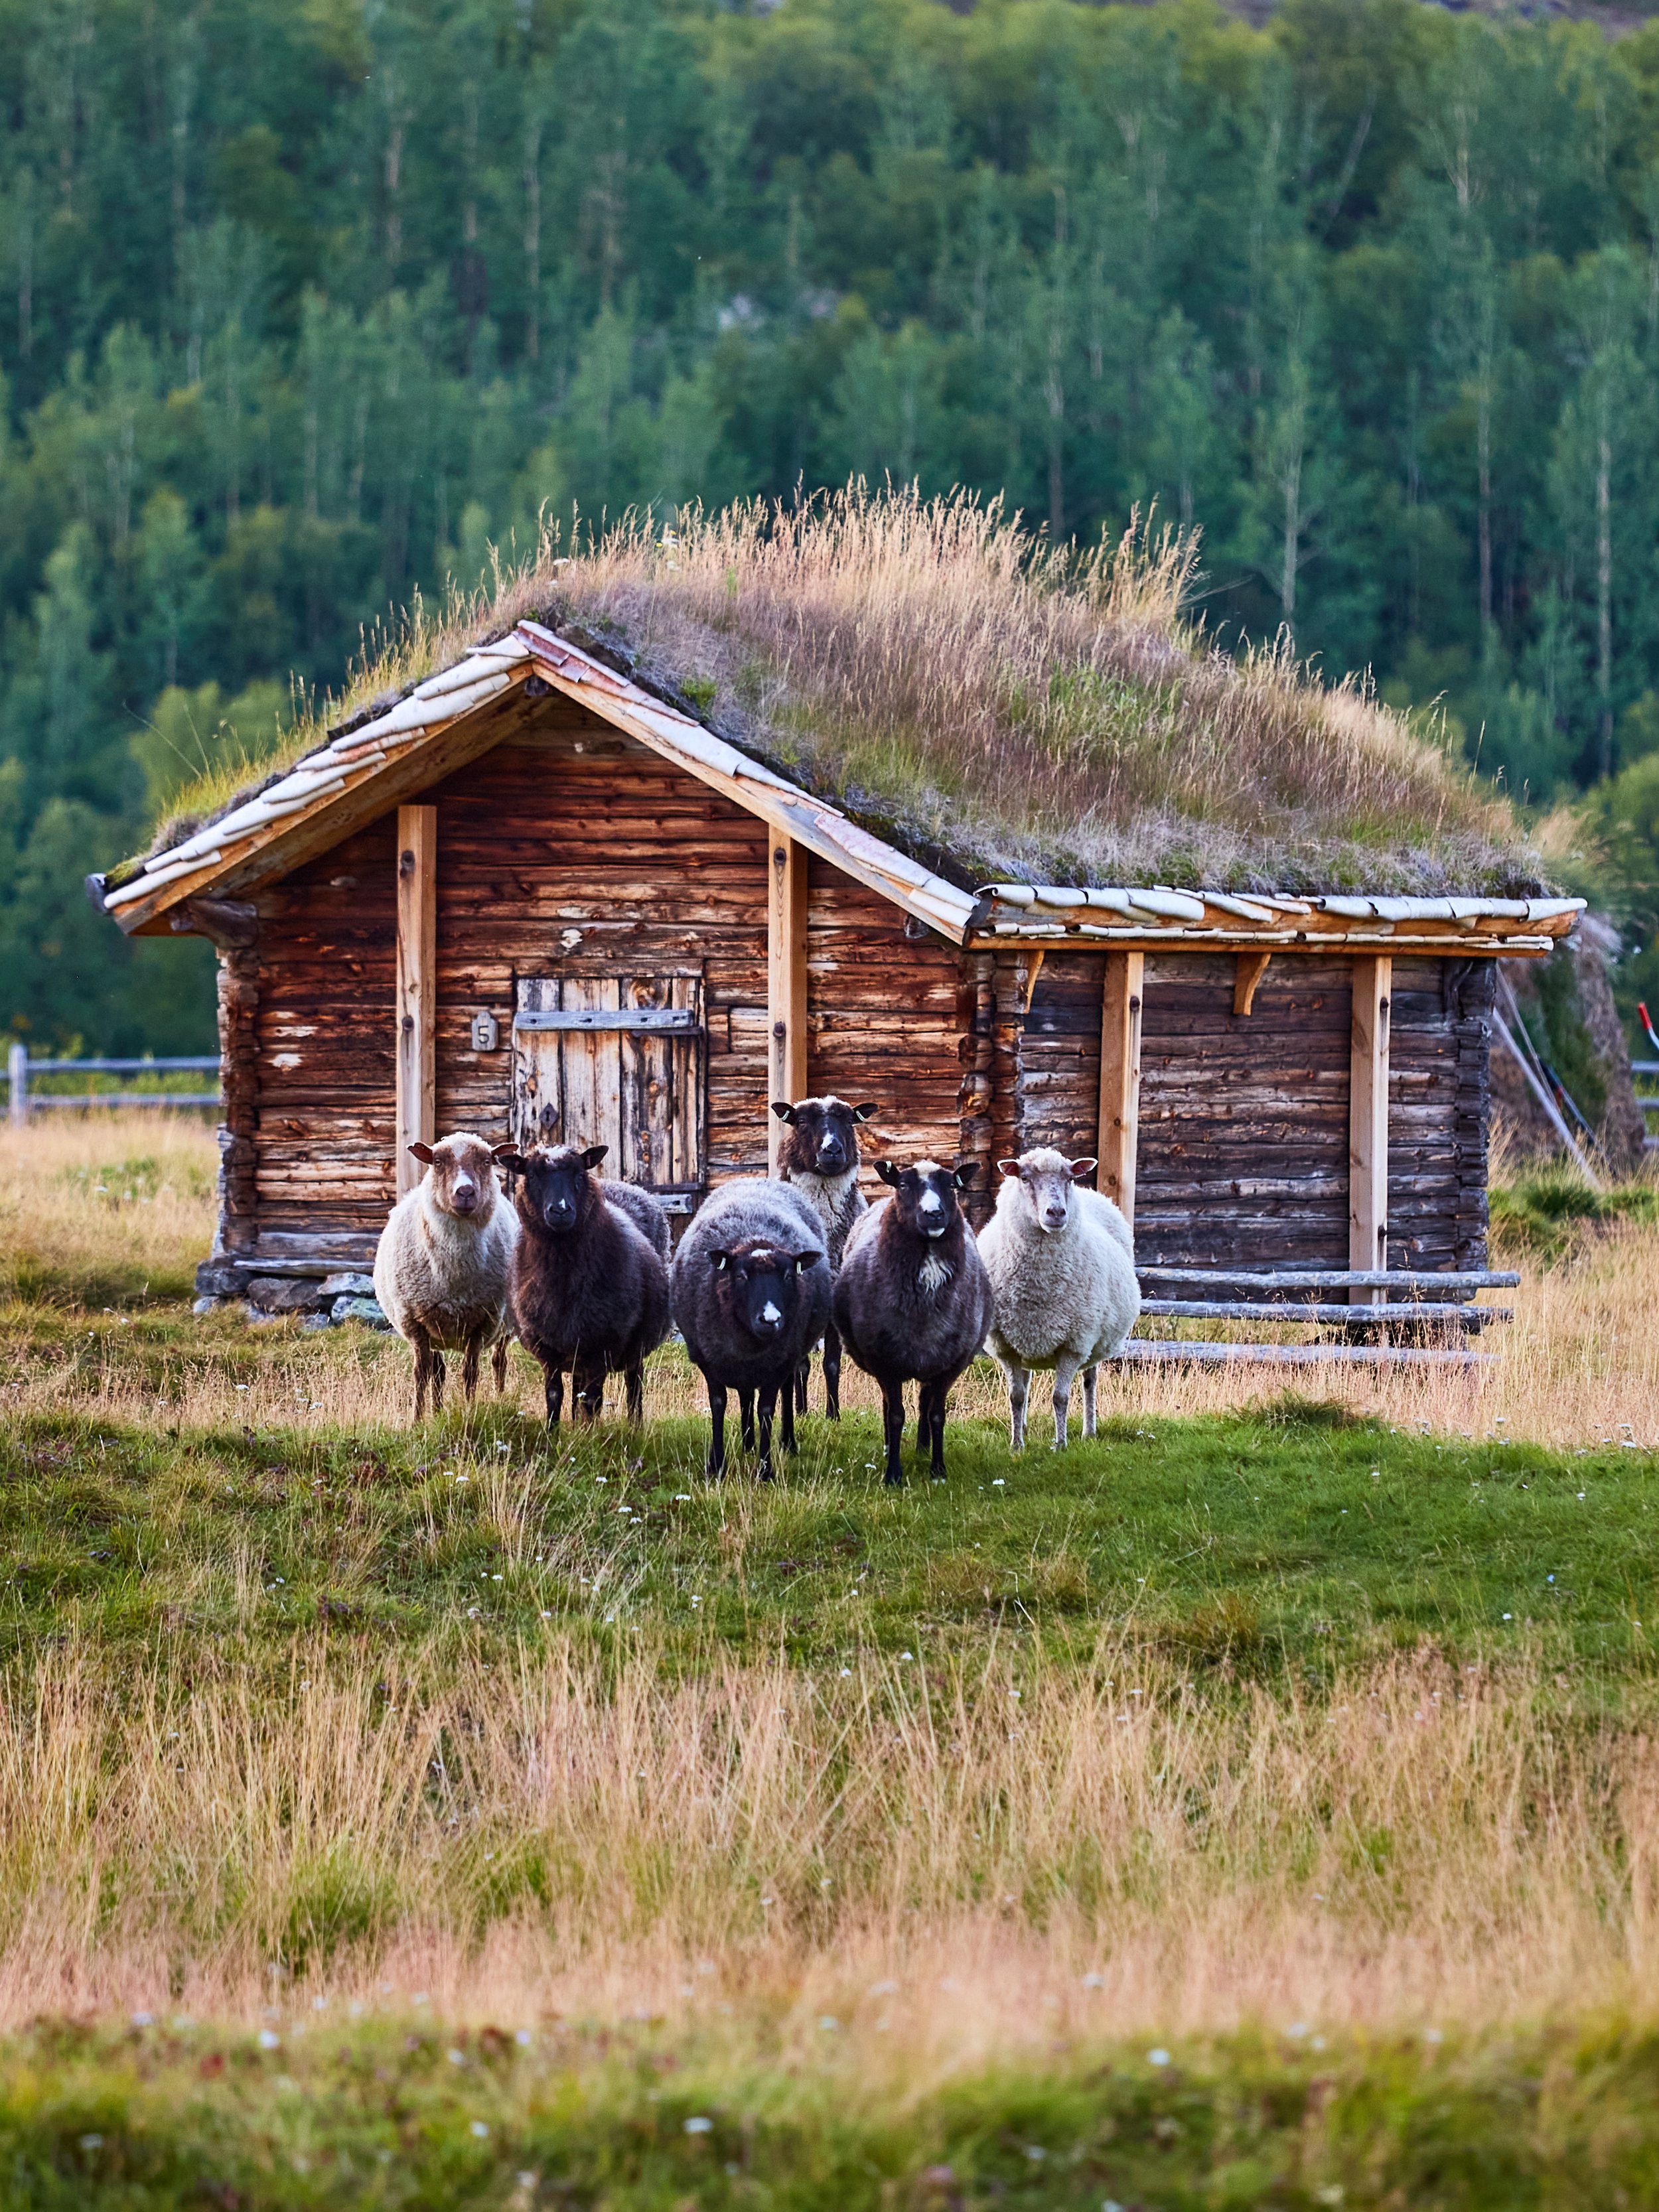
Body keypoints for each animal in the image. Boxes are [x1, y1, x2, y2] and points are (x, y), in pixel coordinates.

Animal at [376, 1133, 520, 1424]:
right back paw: (438, 1412)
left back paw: (500, 1398)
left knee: (499, 1362)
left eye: (487, 1161)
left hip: (505, 1327)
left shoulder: (483, 1323)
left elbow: (471, 1373)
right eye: (438, 1162)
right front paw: (417, 1420)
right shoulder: (415, 1323)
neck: (454, 1272)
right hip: (437, 1333)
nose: (464, 1192)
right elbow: (422, 1373)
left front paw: (469, 1412)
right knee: (438, 1372)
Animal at [498, 1141, 672, 1433]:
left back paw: (634, 1427)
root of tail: (622, 1186)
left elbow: (593, 1399)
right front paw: (553, 1434)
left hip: (630, 1345)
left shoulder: (600, 1343)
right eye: (532, 1175)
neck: (561, 1280)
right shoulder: (548, 1346)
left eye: (579, 1174)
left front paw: (589, 1436)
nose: (560, 1210)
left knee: (633, 1383)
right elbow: (554, 1394)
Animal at [836, 1159, 995, 1486]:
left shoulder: (950, 1363)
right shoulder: (885, 1361)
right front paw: (893, 1473)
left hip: (932, 1361)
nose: (934, 1214)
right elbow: (896, 1415)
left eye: (951, 1186)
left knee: (924, 1402)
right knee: (888, 1405)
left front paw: (938, 1469)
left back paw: (923, 1447)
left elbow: (938, 1414)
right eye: (903, 1185)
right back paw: (889, 1446)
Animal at [982, 1150, 1150, 1460]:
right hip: (1025, 1339)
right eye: (1024, 1178)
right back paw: (1024, 1428)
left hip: (1094, 1341)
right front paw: (1016, 1445)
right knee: (1026, 1381)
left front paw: (1060, 1445)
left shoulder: (1074, 1343)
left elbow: (1060, 1398)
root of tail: (1094, 1194)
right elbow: (1016, 1396)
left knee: (1090, 1382)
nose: (1057, 1213)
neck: (1038, 1287)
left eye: (1069, 1178)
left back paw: (1089, 1431)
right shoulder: (1006, 1345)